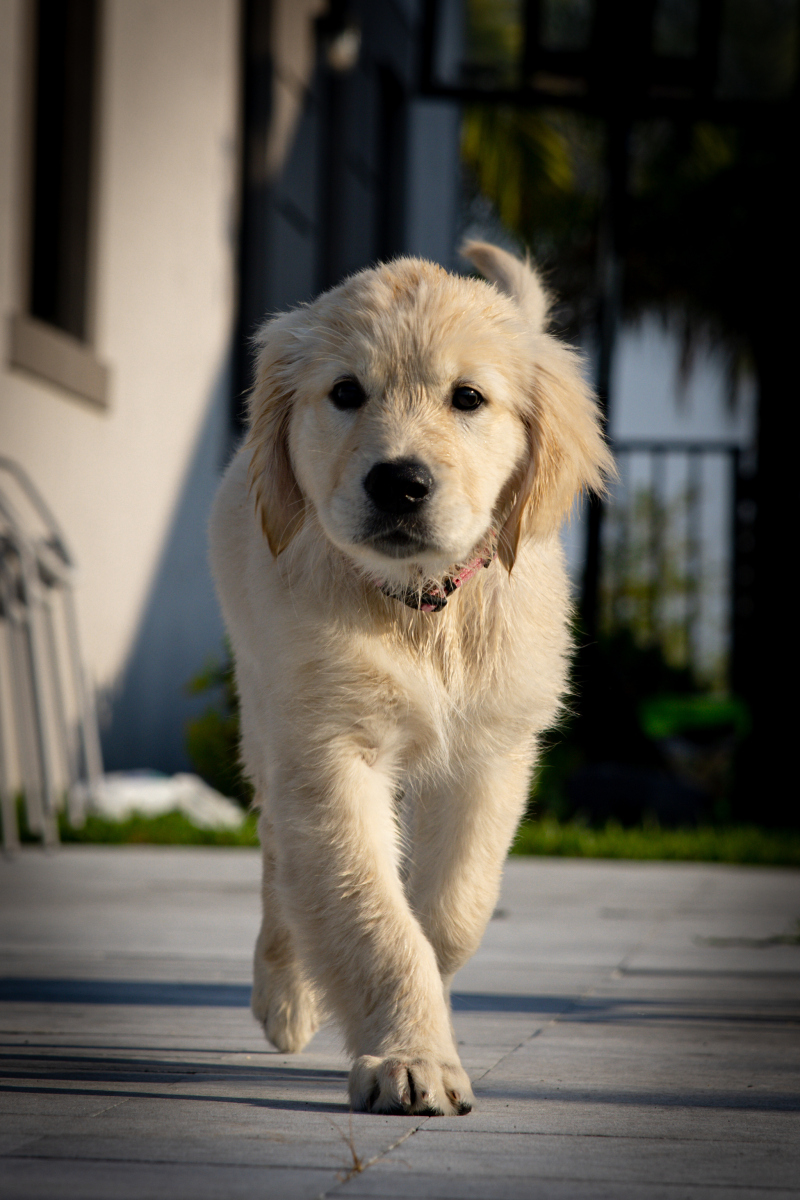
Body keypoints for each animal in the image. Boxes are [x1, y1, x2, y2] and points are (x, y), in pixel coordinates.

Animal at [209, 243, 609, 1113]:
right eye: (345, 392)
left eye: (468, 398)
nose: (400, 483)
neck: (422, 610)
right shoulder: (325, 746)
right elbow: (369, 912)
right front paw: (409, 1057)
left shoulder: (491, 752)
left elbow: (452, 910)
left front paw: (421, 1018)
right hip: (264, 708)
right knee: (278, 852)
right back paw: (287, 992)